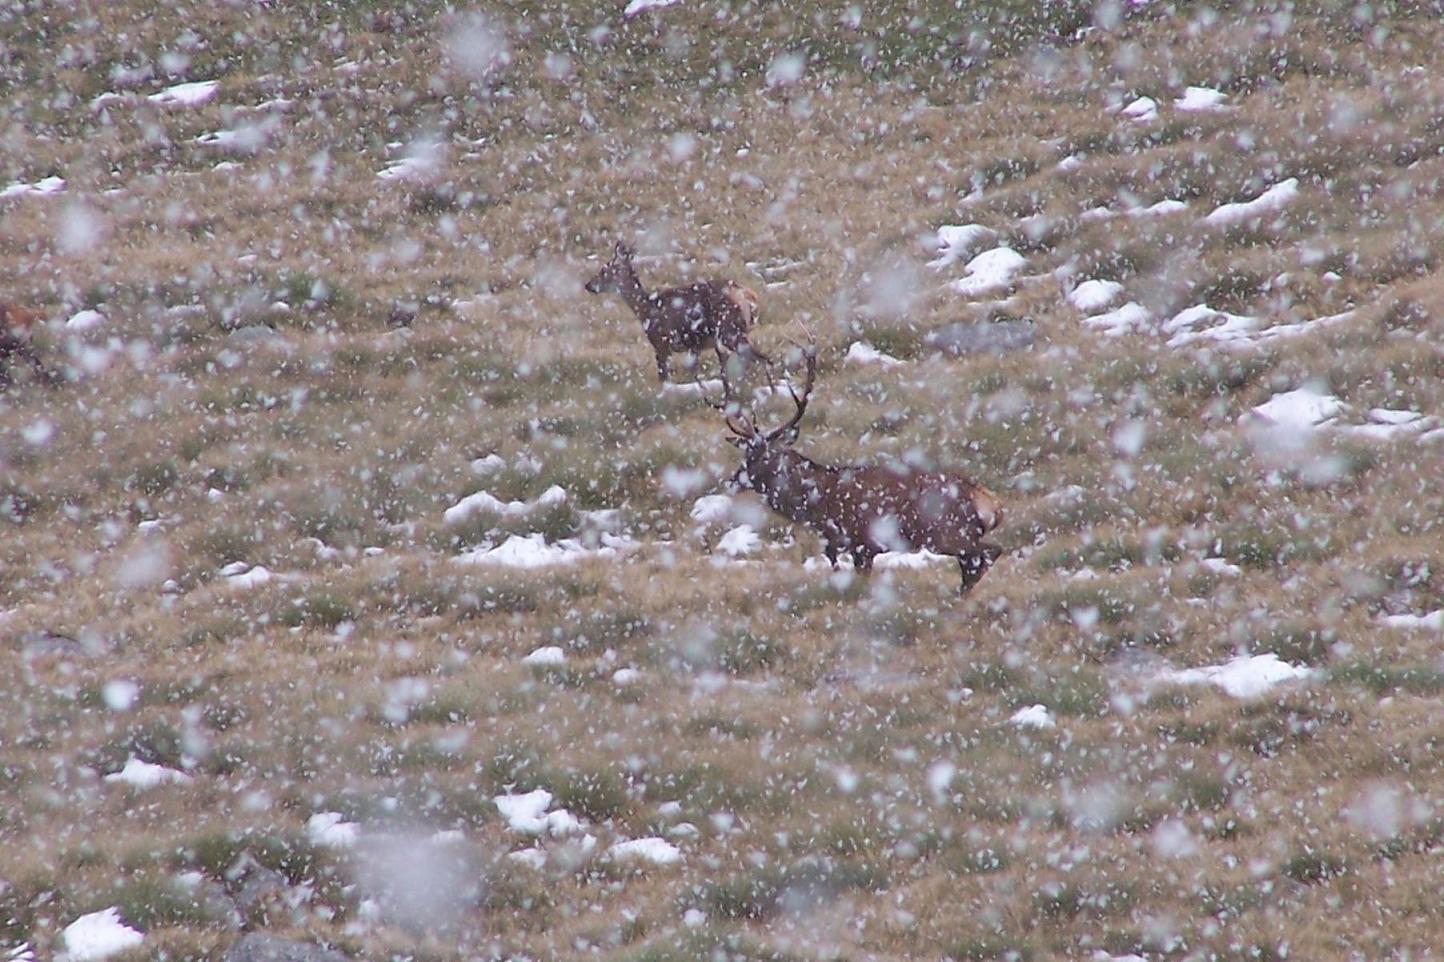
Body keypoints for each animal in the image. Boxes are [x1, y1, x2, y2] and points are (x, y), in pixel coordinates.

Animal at [583, 239, 773, 381]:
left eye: (604, 270)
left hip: (731, 332)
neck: (645, 309)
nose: (588, 285)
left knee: (765, 360)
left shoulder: (661, 343)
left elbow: (664, 380)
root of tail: (747, 295)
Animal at [707, 336, 1005, 592]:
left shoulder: (863, 543)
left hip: (947, 532)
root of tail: (992, 504)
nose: (732, 481)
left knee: (988, 552)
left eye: (762, 457)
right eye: (746, 455)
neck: (819, 508)